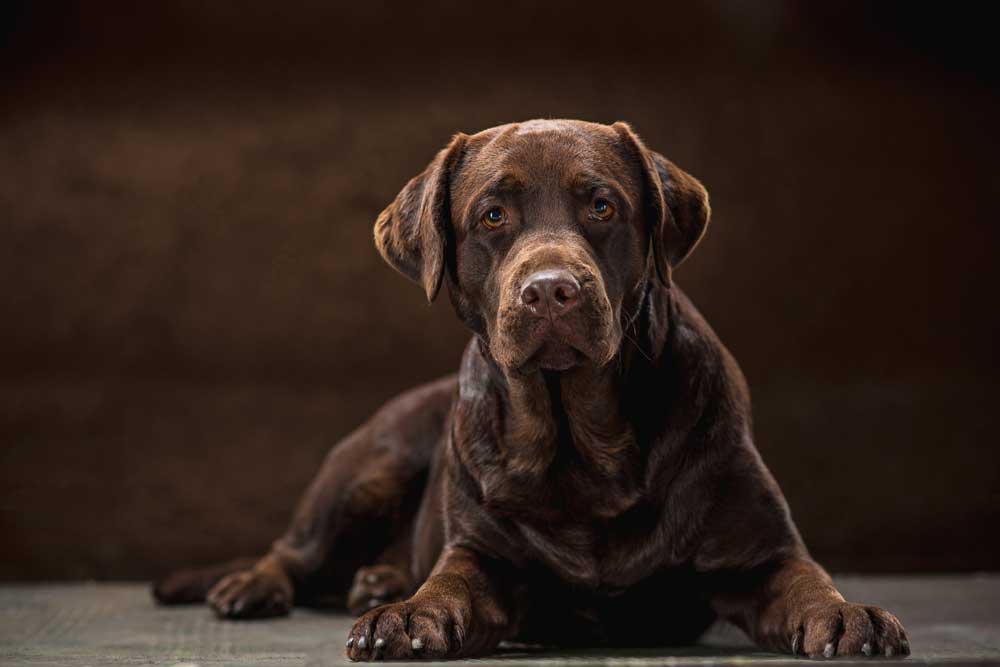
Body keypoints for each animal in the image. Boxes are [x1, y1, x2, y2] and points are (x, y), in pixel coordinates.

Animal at [152, 120, 912, 664]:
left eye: (602, 205)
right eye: (492, 216)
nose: (551, 289)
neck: (583, 444)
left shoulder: (759, 551)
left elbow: (806, 578)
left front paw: (848, 614)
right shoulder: (483, 555)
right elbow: (449, 582)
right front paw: (409, 613)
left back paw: (377, 578)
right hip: (369, 464)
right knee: (292, 550)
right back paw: (263, 586)